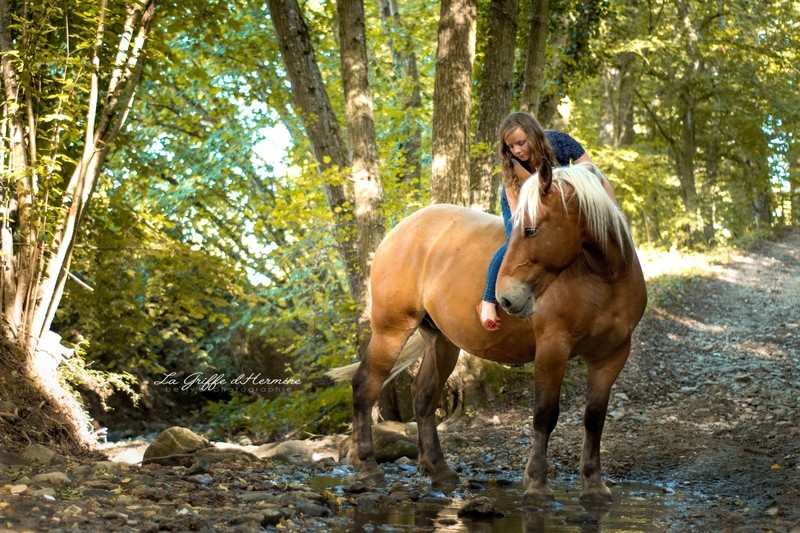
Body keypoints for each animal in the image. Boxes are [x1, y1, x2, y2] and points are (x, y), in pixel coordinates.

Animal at [334, 160, 648, 500]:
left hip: (442, 342)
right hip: (391, 330)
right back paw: (369, 467)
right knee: (366, 385)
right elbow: (545, 415)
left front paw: (593, 485)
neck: (603, 278)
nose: (507, 298)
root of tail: (398, 231)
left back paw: (439, 471)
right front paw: (537, 484)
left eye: (531, 230)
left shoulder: (611, 355)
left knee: (424, 396)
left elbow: (594, 418)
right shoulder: (552, 349)